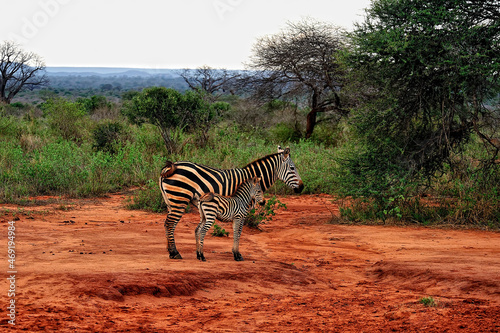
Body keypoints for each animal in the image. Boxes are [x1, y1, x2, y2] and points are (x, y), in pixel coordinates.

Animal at [159, 144, 304, 258]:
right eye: (292, 168)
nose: (302, 187)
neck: (251, 181)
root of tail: (170, 167)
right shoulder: (242, 209)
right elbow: (238, 232)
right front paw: (236, 253)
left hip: (170, 202)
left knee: (167, 224)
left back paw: (170, 250)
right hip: (179, 199)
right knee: (170, 224)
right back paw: (175, 253)